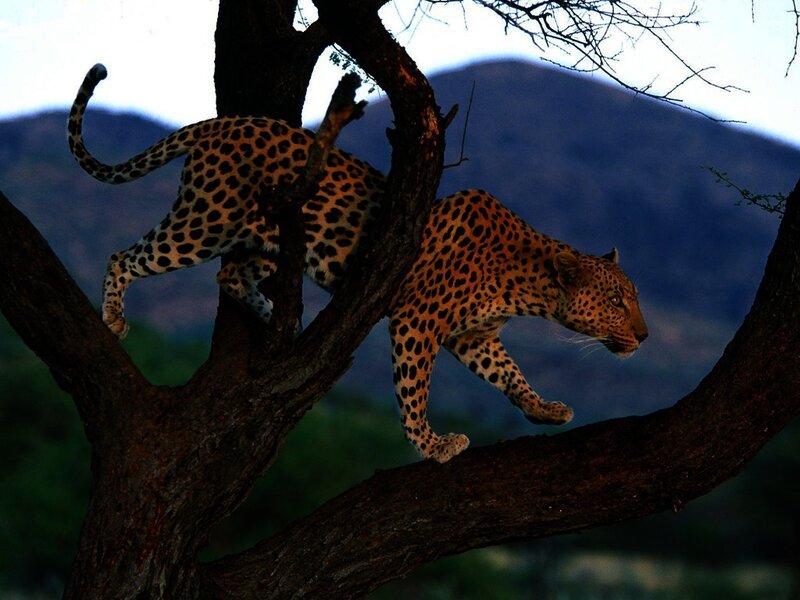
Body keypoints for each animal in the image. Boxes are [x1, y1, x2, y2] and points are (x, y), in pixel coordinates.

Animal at [67, 64, 648, 463]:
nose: (643, 336)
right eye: (619, 301)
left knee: (231, 274)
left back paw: (284, 320)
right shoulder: (418, 320)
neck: (529, 285)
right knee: (128, 256)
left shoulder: (475, 336)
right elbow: (414, 389)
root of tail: (221, 122)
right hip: (204, 221)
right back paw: (115, 317)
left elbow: (511, 372)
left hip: (263, 237)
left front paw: (543, 409)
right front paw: (433, 445)